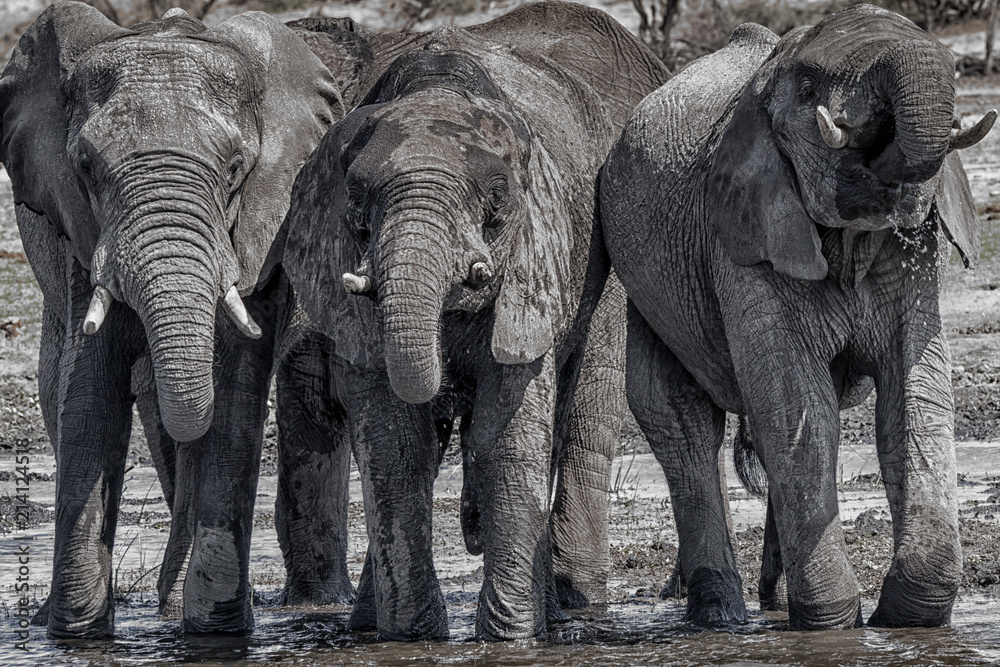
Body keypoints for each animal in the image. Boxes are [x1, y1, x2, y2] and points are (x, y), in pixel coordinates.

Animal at [0, 2, 357, 636]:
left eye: (236, 169)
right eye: (86, 167)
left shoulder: (262, 222)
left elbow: (233, 388)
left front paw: (216, 632)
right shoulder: (76, 225)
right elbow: (88, 388)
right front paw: (75, 636)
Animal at [279, 0, 668, 640]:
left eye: (497, 204)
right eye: (355, 202)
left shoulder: (538, 259)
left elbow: (505, 433)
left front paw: (510, 638)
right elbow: (396, 444)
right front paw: (412, 638)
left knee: (581, 411)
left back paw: (572, 608)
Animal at [600, 5, 995, 631]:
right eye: (808, 90)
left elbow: (912, 395)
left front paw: (904, 619)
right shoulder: (743, 236)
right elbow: (799, 406)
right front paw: (833, 622)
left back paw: (773, 604)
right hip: (646, 285)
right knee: (680, 418)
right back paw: (722, 616)